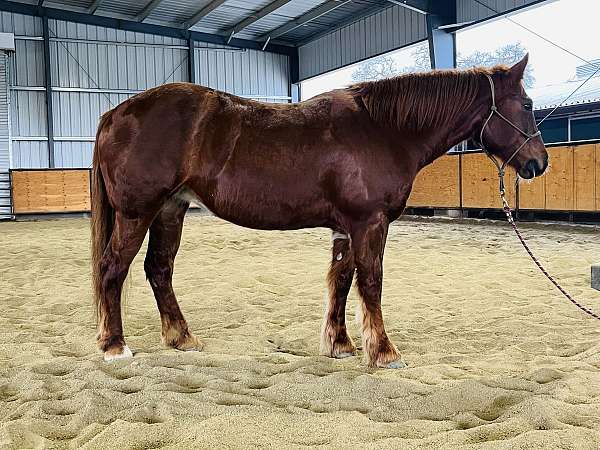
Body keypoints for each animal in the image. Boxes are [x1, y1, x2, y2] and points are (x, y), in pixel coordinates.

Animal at [90, 54, 548, 368]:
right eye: (526, 104)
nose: (539, 163)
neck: (384, 130)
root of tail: (116, 112)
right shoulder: (370, 223)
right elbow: (371, 282)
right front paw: (384, 352)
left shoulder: (346, 227)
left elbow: (342, 280)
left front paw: (341, 344)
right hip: (137, 213)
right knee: (113, 268)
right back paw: (115, 346)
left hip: (170, 210)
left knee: (159, 269)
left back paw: (182, 338)